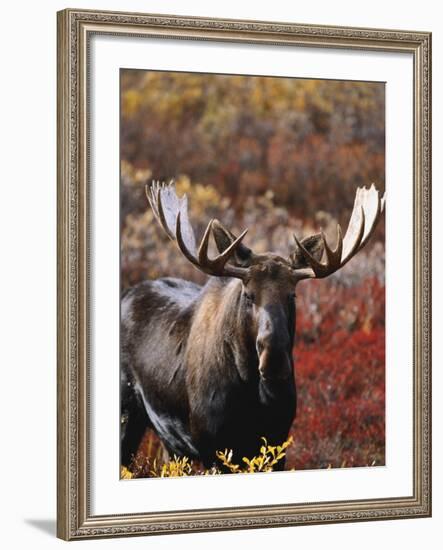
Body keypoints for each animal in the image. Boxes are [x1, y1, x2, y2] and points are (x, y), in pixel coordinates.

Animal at [121, 183, 386, 472]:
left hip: (171, 444)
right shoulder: (212, 447)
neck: (251, 393)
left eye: (292, 295)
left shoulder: (277, 442)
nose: (274, 360)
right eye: (248, 295)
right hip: (128, 416)